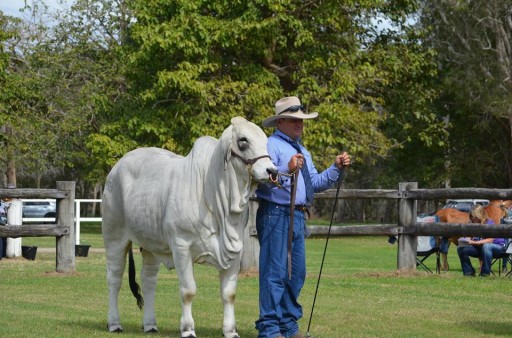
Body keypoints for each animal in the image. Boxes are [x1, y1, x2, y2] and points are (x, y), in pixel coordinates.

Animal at [101, 117, 276, 338]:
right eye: (243, 140)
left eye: (266, 141)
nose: (272, 171)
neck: (213, 194)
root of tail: (116, 168)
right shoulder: (181, 247)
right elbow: (188, 291)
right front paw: (188, 329)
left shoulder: (235, 250)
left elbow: (229, 294)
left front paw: (230, 331)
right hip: (114, 237)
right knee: (114, 279)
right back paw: (114, 323)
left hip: (150, 245)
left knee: (148, 281)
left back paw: (150, 324)